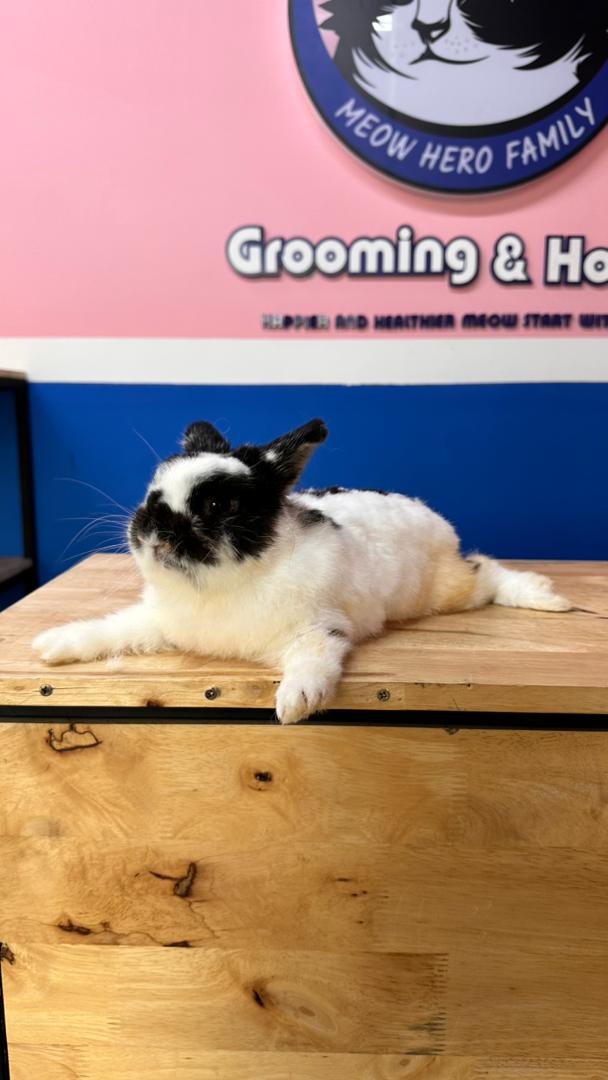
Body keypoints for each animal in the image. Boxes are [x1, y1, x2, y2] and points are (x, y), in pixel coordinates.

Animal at [32, 418, 571, 723]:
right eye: (152, 492)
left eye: (219, 504)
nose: (151, 527)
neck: (223, 586)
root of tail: (436, 519)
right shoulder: (159, 622)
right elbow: (111, 630)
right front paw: (53, 645)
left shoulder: (318, 630)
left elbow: (314, 662)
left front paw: (293, 704)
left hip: (444, 590)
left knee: (486, 571)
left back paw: (548, 598)